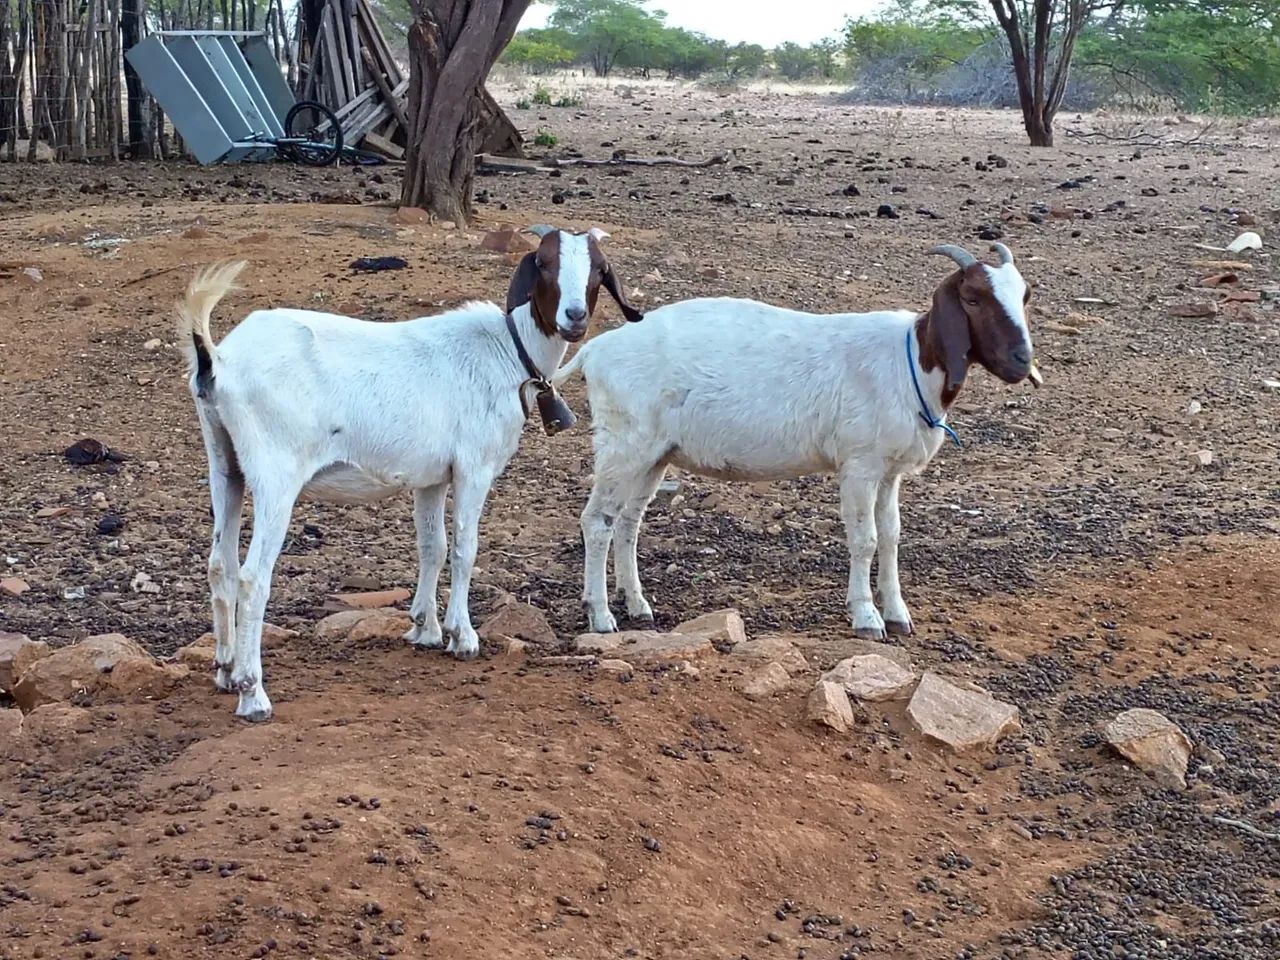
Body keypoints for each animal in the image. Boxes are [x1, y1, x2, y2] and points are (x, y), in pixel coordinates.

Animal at [177, 226, 640, 721]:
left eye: (598, 269)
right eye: (545, 264)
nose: (574, 316)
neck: (505, 352)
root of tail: (218, 361)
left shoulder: (432, 477)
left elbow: (432, 547)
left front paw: (425, 629)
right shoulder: (474, 467)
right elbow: (465, 549)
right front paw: (463, 636)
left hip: (224, 463)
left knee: (220, 565)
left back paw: (225, 670)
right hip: (275, 474)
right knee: (253, 577)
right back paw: (253, 693)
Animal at [554, 243, 1041, 638]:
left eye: (1024, 296)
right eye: (973, 297)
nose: (1022, 361)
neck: (909, 362)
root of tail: (595, 351)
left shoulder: (889, 472)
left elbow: (891, 536)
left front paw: (899, 615)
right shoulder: (859, 464)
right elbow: (864, 539)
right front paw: (867, 617)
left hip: (654, 455)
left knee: (628, 522)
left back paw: (638, 605)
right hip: (623, 444)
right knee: (597, 521)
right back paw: (601, 616)